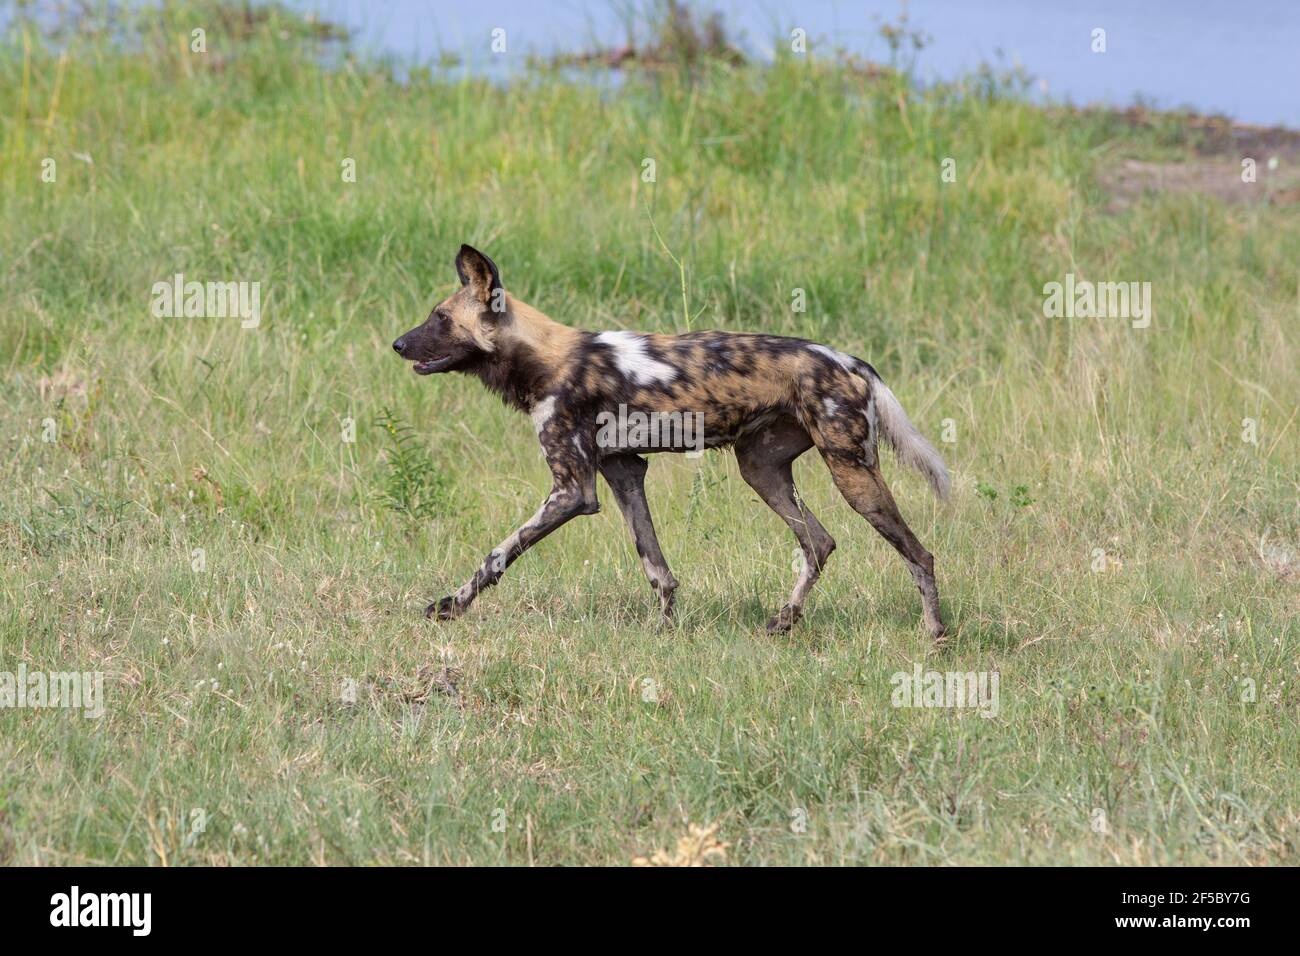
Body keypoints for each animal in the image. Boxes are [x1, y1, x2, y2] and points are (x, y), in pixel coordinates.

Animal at [390, 247, 951, 642]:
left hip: (852, 473)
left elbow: (498, 554)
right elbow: (656, 567)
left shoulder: (571, 492)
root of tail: (851, 360)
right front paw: (665, 629)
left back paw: (934, 634)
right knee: (818, 542)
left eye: (440, 319)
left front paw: (451, 605)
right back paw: (784, 620)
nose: (397, 344)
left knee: (920, 554)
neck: (545, 358)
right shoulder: (623, 471)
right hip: (761, 469)